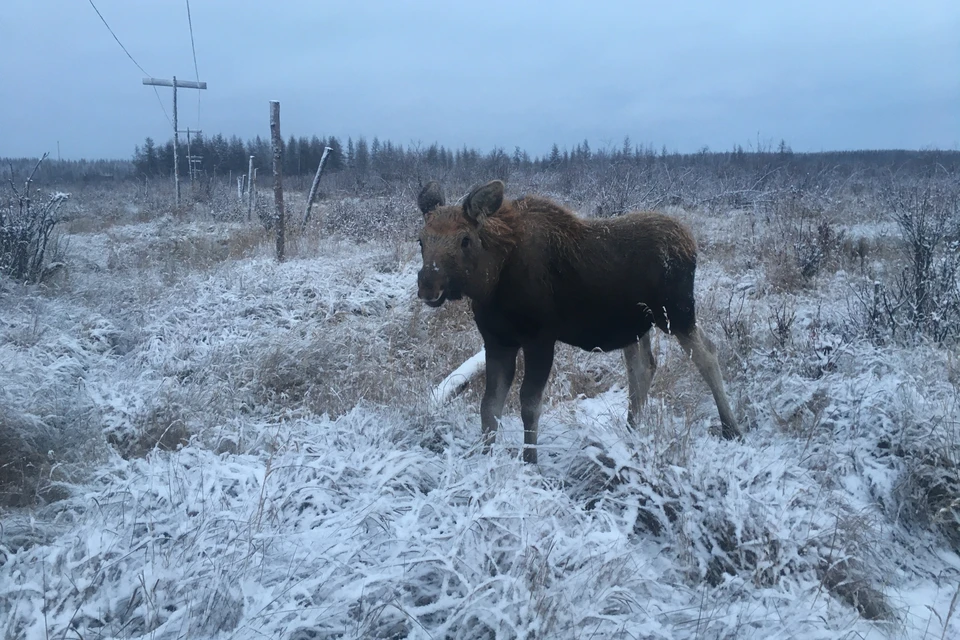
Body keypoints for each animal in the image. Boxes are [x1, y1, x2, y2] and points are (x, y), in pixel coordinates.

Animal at [414, 178, 744, 462]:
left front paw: (531, 461)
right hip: (638, 324)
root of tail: (691, 243)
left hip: (677, 313)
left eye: (465, 239)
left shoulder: (540, 340)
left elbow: (529, 405)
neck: (492, 280)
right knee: (644, 368)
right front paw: (484, 456)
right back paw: (630, 430)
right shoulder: (498, 342)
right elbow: (489, 407)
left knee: (707, 354)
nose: (428, 285)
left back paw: (731, 428)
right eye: (421, 240)